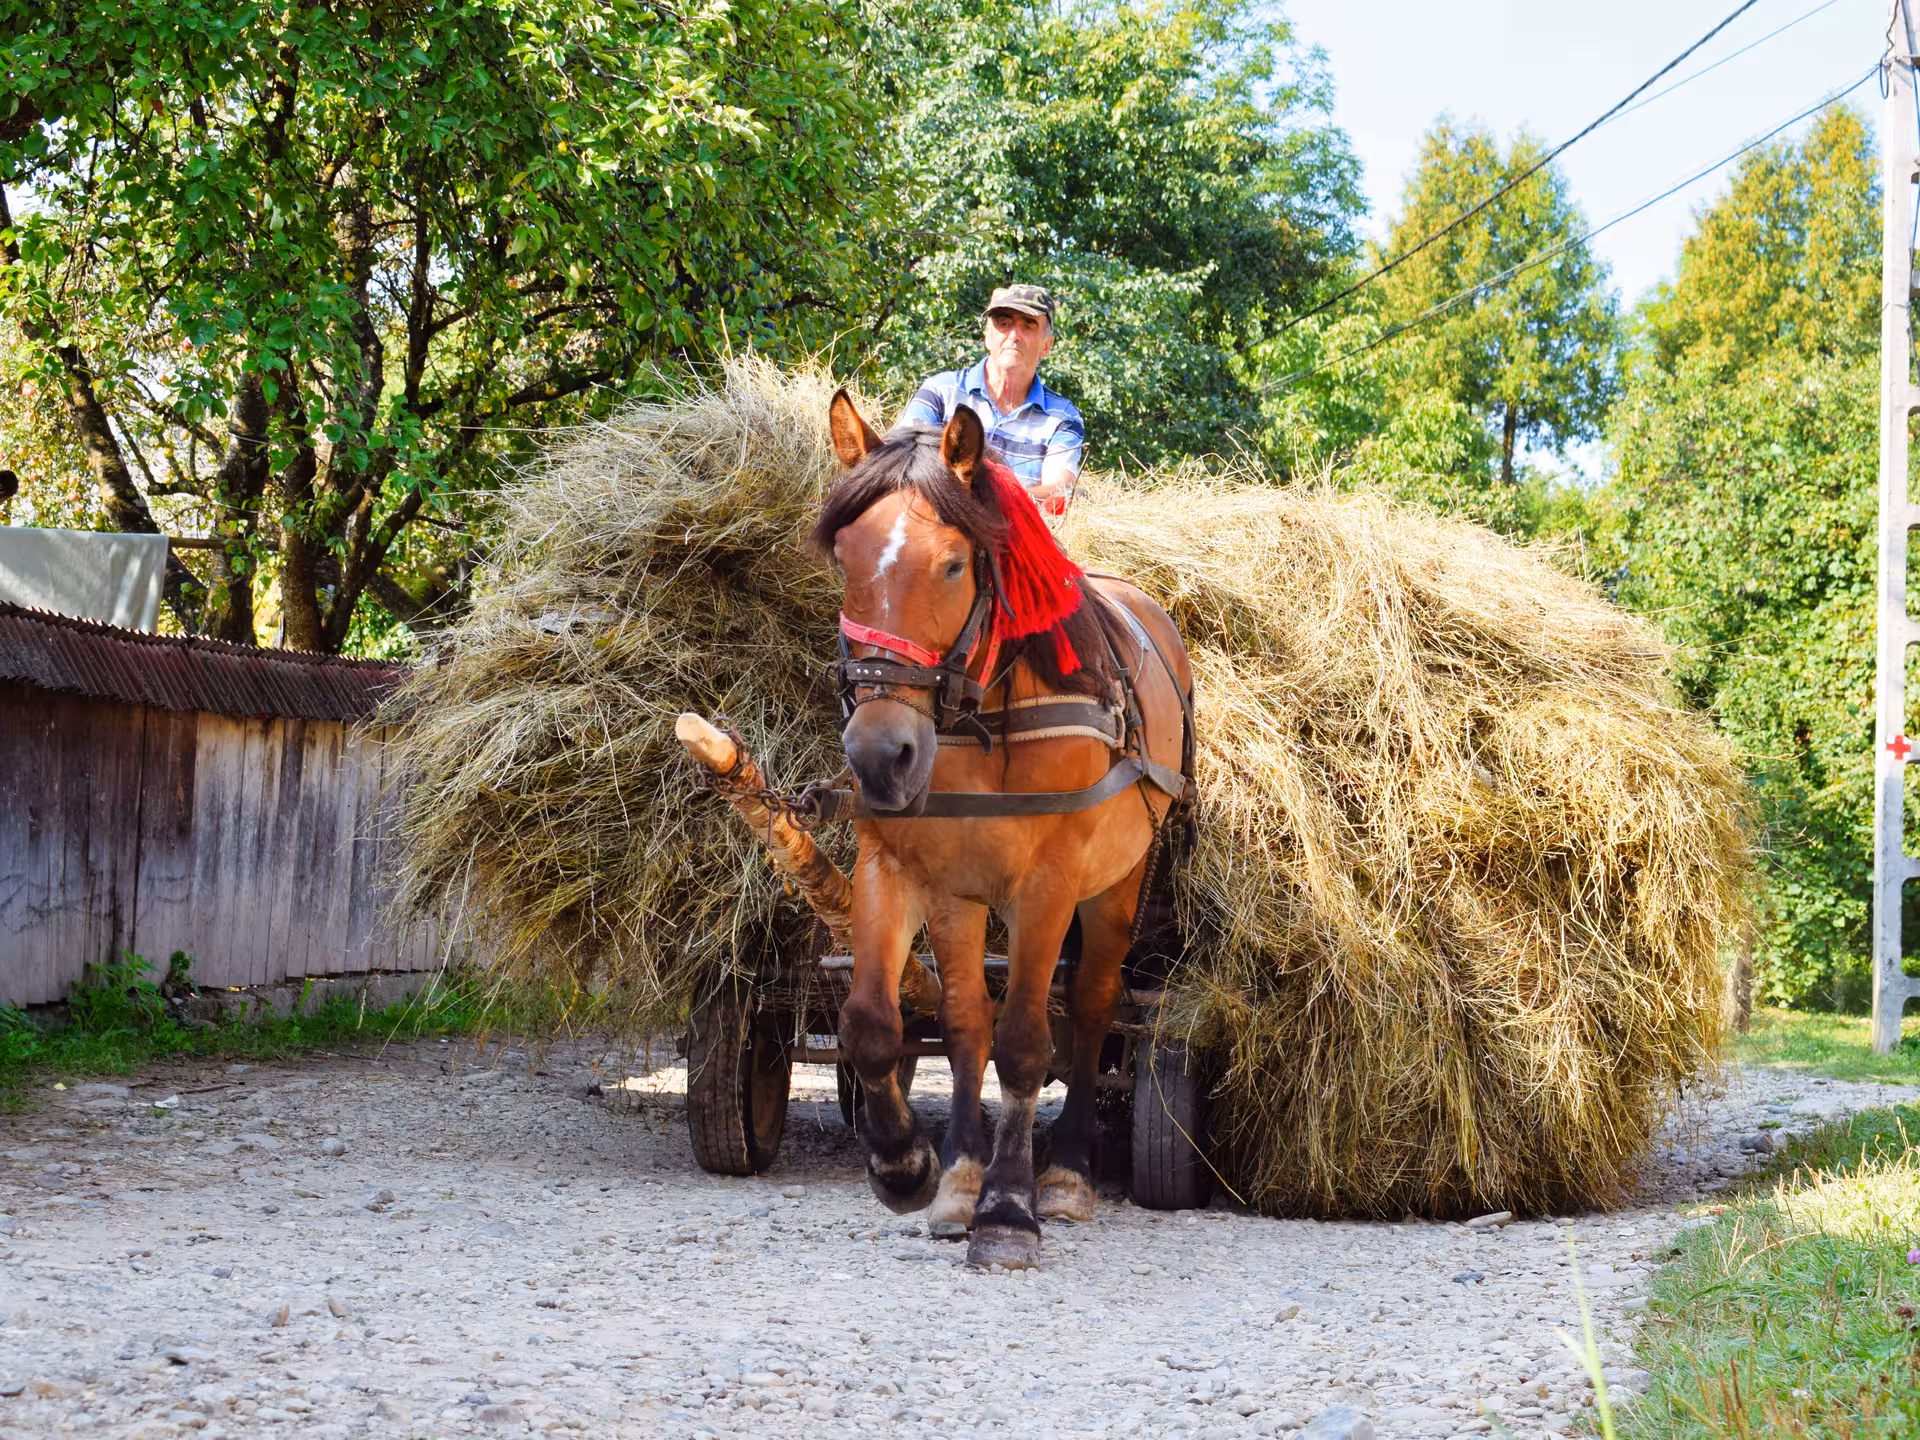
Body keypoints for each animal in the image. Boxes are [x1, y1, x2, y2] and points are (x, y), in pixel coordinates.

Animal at [816, 391, 1194, 1270]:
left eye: (955, 563)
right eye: (845, 556)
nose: (881, 753)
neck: (981, 716)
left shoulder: (1047, 884)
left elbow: (1025, 1039)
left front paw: (1009, 1208)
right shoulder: (910, 869)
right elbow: (894, 1023)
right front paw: (917, 1169)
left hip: (1118, 885)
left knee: (1090, 1009)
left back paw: (1069, 1173)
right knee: (970, 1025)